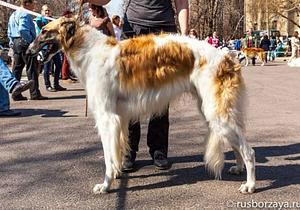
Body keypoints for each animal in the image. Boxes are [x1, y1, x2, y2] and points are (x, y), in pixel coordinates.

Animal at [27, 17, 255, 194]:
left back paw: (250, 185)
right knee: (237, 145)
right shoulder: (120, 118)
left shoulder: (107, 118)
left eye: (44, 31)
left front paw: (105, 185)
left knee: (248, 150)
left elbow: (108, 157)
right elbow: (117, 152)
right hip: (212, 111)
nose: (28, 51)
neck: (91, 51)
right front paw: (118, 173)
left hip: (216, 113)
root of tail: (227, 57)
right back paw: (238, 168)